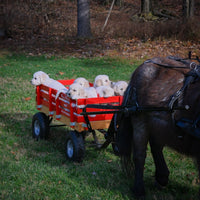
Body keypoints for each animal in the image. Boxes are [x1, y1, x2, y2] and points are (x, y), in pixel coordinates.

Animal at [115, 55, 200, 197]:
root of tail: (145, 63)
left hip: (158, 124)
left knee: (156, 145)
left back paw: (162, 177)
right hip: (140, 120)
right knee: (140, 155)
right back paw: (139, 189)